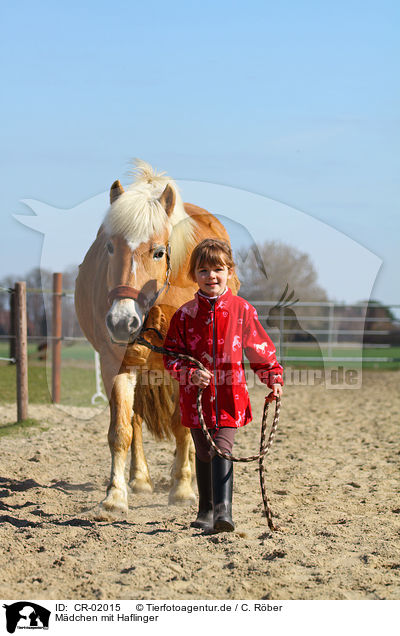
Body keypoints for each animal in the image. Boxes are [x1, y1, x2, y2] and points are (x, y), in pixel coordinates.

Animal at [74, 158, 241, 516]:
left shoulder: (189, 367)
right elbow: (121, 430)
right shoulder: (117, 365)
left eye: (159, 252)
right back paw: (139, 480)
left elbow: (183, 426)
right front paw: (115, 495)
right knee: (136, 420)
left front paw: (182, 488)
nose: (122, 322)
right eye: (109, 247)